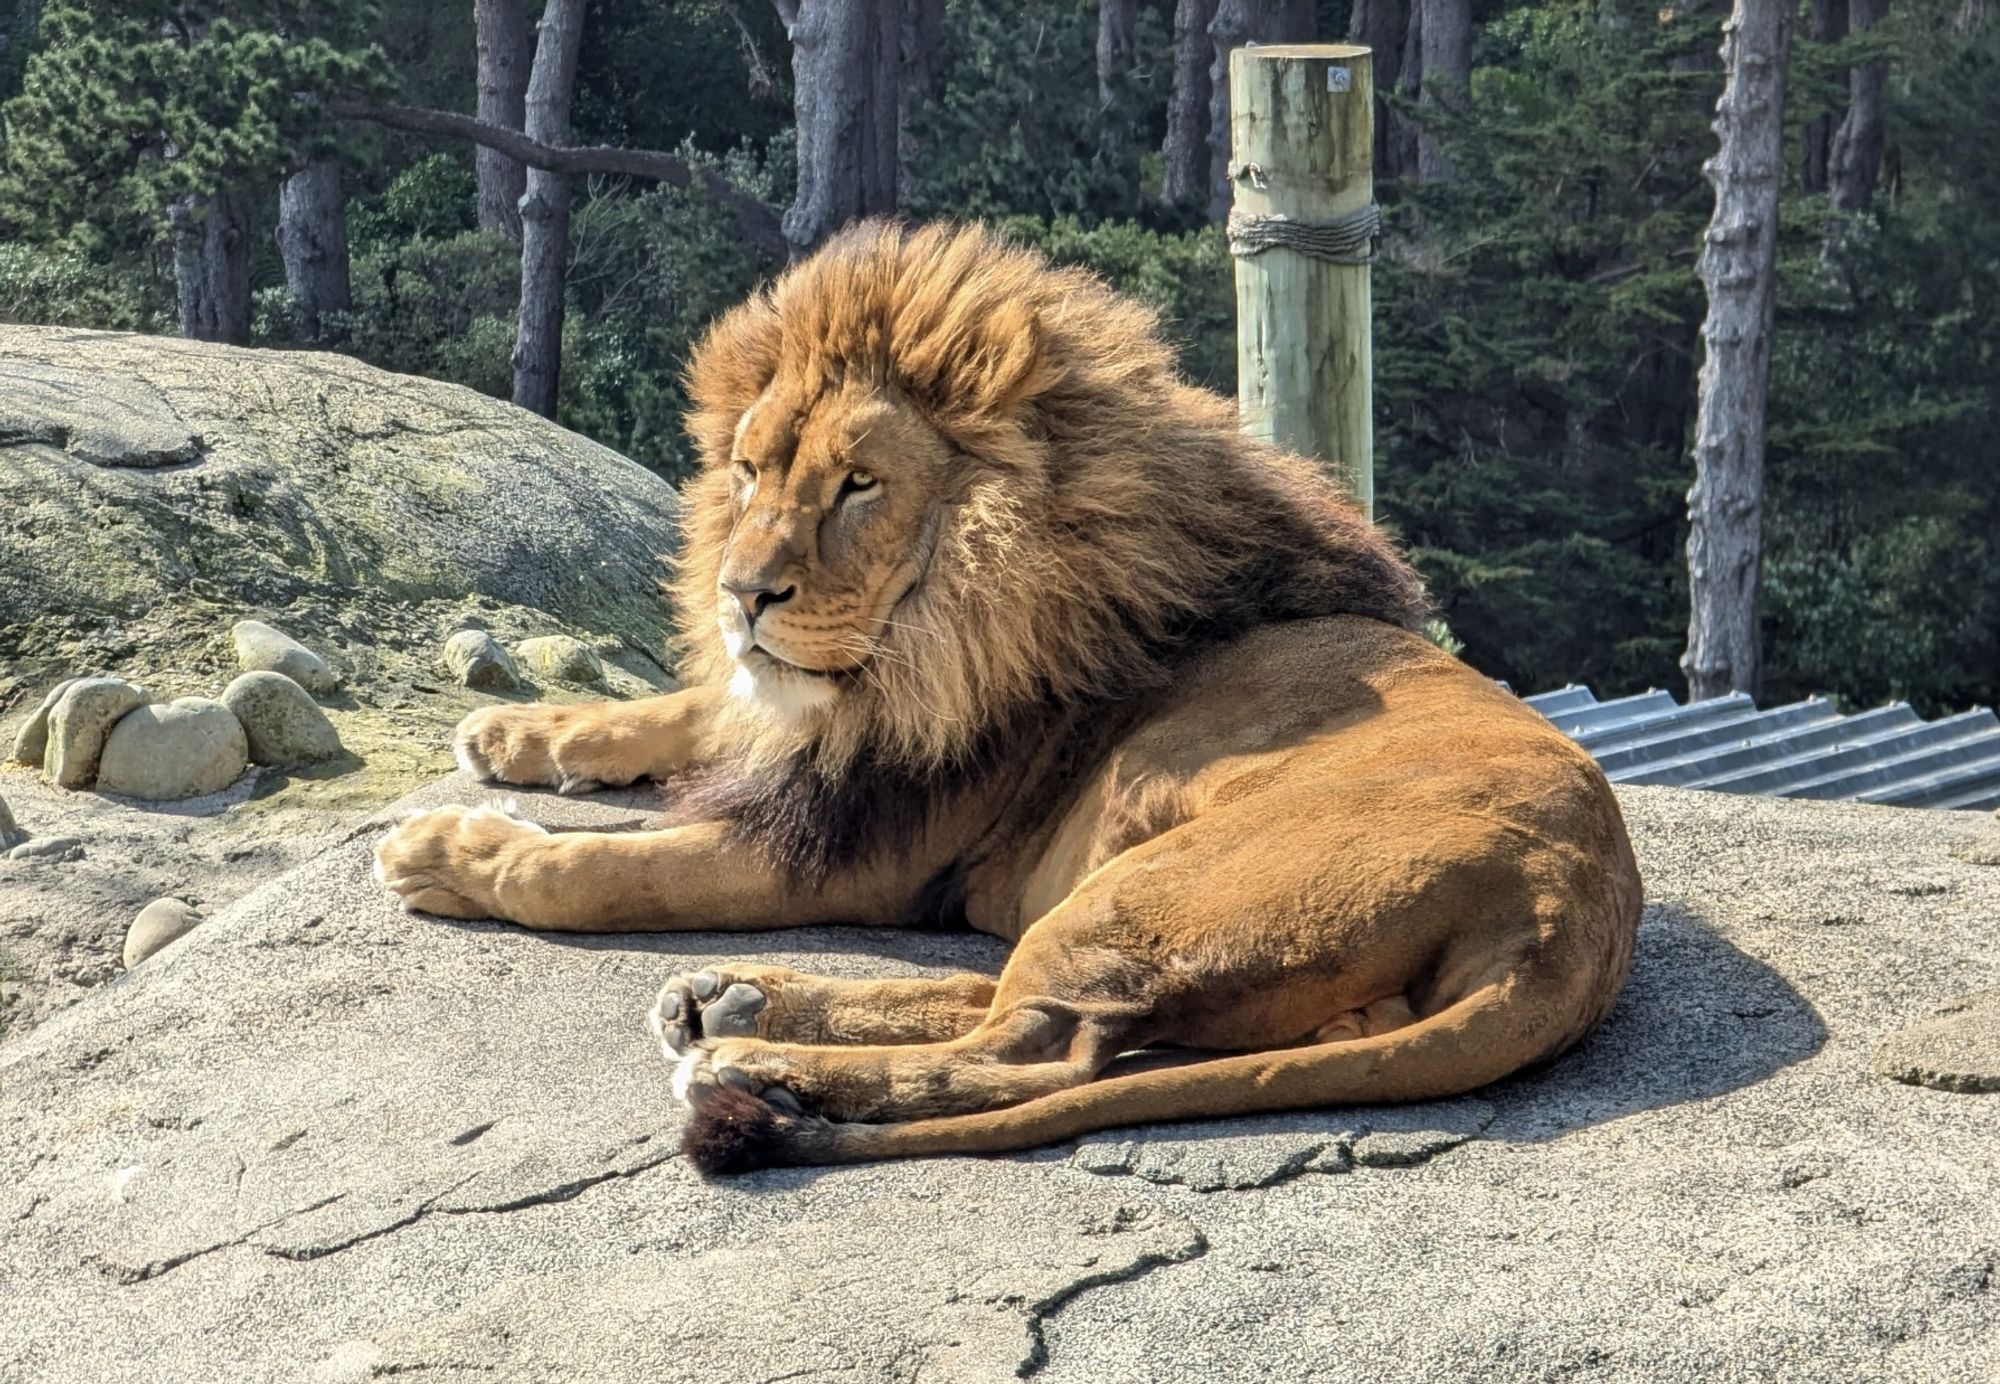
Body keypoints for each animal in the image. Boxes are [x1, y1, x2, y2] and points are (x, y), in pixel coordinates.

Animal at [372, 222, 1640, 1176]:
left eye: (857, 485)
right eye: (747, 469)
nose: (740, 592)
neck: (922, 642)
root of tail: (1563, 915)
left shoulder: (849, 850)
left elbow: (596, 871)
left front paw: (450, 848)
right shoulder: (816, 724)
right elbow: (695, 707)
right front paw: (520, 729)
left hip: (1150, 890)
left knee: (1030, 1047)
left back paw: (756, 1066)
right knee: (1008, 1002)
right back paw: (734, 1002)